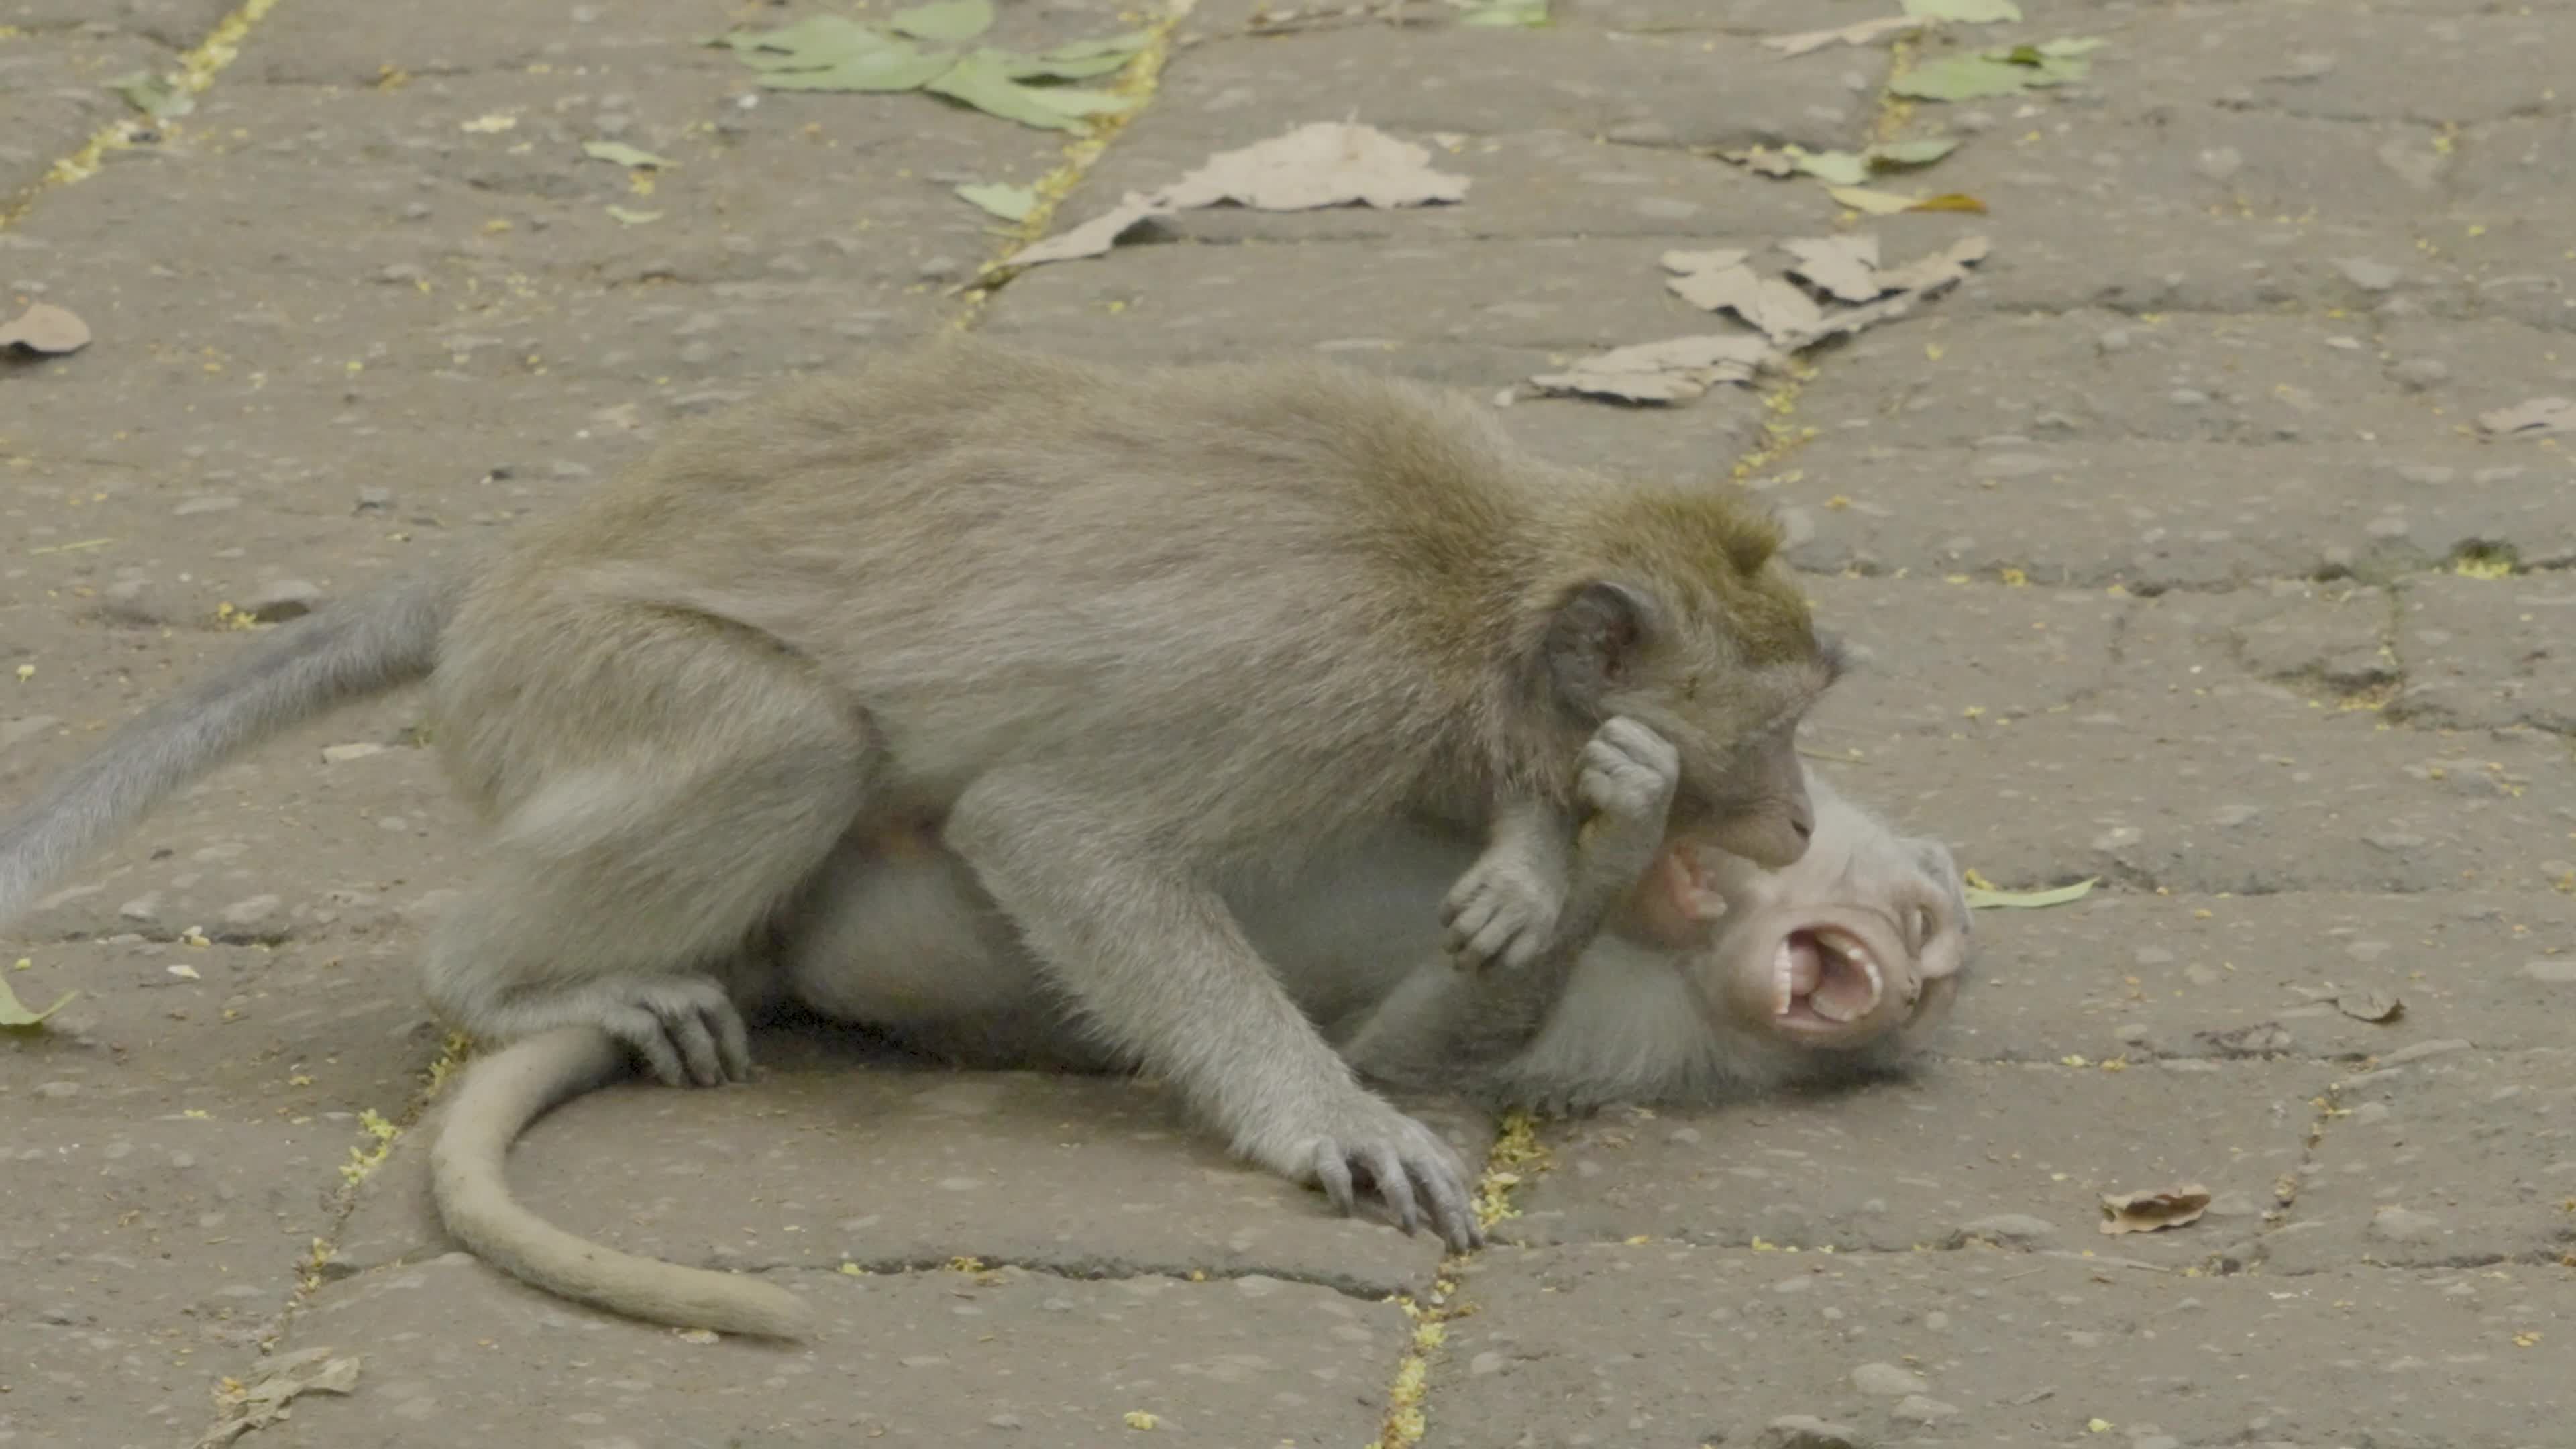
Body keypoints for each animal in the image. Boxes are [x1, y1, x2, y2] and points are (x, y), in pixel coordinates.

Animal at [0, 336, 1840, 1261]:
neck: (1473, 579)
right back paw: (497, 978)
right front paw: (1332, 1119)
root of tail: (509, 576)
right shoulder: (1317, 690)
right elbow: (1055, 832)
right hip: (562, 677)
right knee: (786, 734)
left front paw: (1535, 845)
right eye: (1776, 734)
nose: (1806, 823)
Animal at [424, 732, 1968, 1340]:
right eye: (1927, 914)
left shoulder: (1640, 1039)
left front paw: (1620, 836)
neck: (1686, 942)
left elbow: (1409, 1054)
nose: (1913, 976)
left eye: (1930, 966)